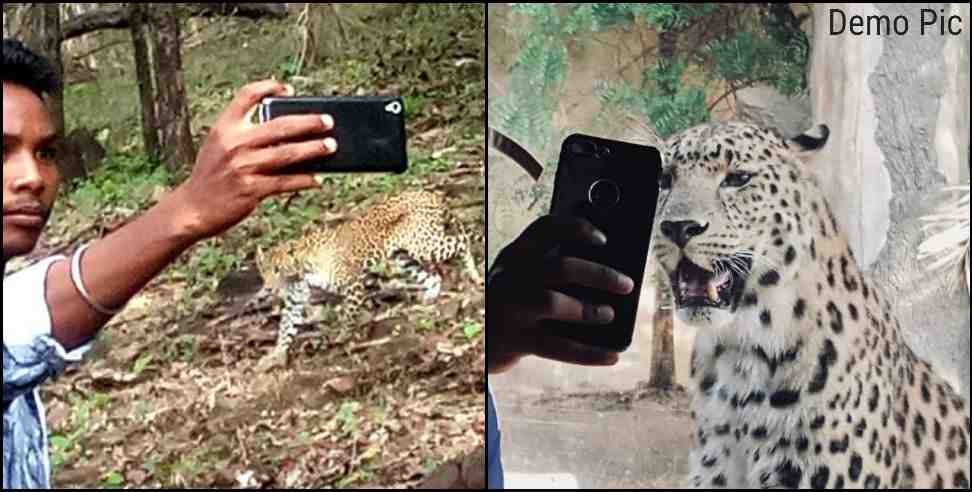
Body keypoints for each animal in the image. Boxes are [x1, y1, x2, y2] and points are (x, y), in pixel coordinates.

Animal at [254, 190, 482, 368]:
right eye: (263, 271)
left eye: (278, 270)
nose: (268, 288)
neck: (301, 270)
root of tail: (429, 194)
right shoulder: (295, 299)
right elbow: (285, 326)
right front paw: (275, 355)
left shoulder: (353, 284)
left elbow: (348, 314)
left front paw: (343, 336)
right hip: (403, 258)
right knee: (432, 275)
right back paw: (431, 295)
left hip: (425, 245)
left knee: (462, 241)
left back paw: (474, 274)